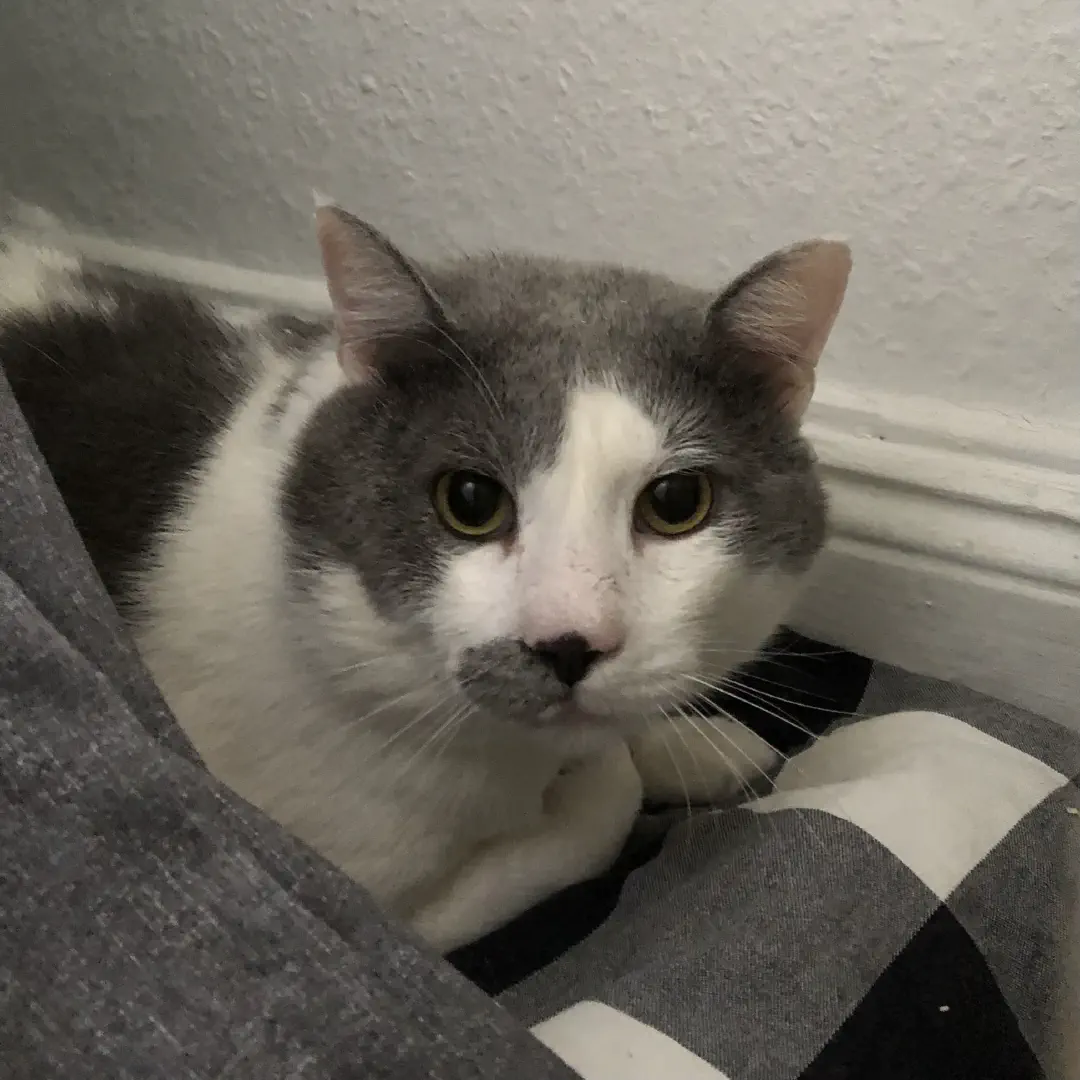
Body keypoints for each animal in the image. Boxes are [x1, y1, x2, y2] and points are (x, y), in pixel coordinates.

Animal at [0, 206, 851, 950]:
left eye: (677, 503)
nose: (569, 641)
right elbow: (601, 805)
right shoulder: (343, 880)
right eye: (469, 501)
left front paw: (701, 744)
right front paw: (622, 775)